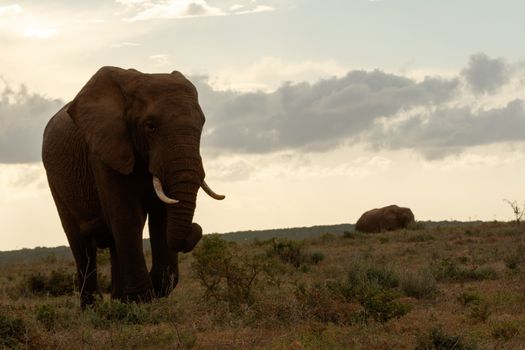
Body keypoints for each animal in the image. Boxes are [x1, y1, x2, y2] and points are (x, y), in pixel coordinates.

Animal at [39, 66, 223, 306]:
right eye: (150, 126)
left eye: (201, 125)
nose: (196, 229)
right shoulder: (104, 151)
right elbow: (127, 215)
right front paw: (141, 300)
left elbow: (161, 216)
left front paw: (143, 294)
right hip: (56, 181)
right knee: (80, 242)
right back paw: (93, 306)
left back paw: (118, 300)